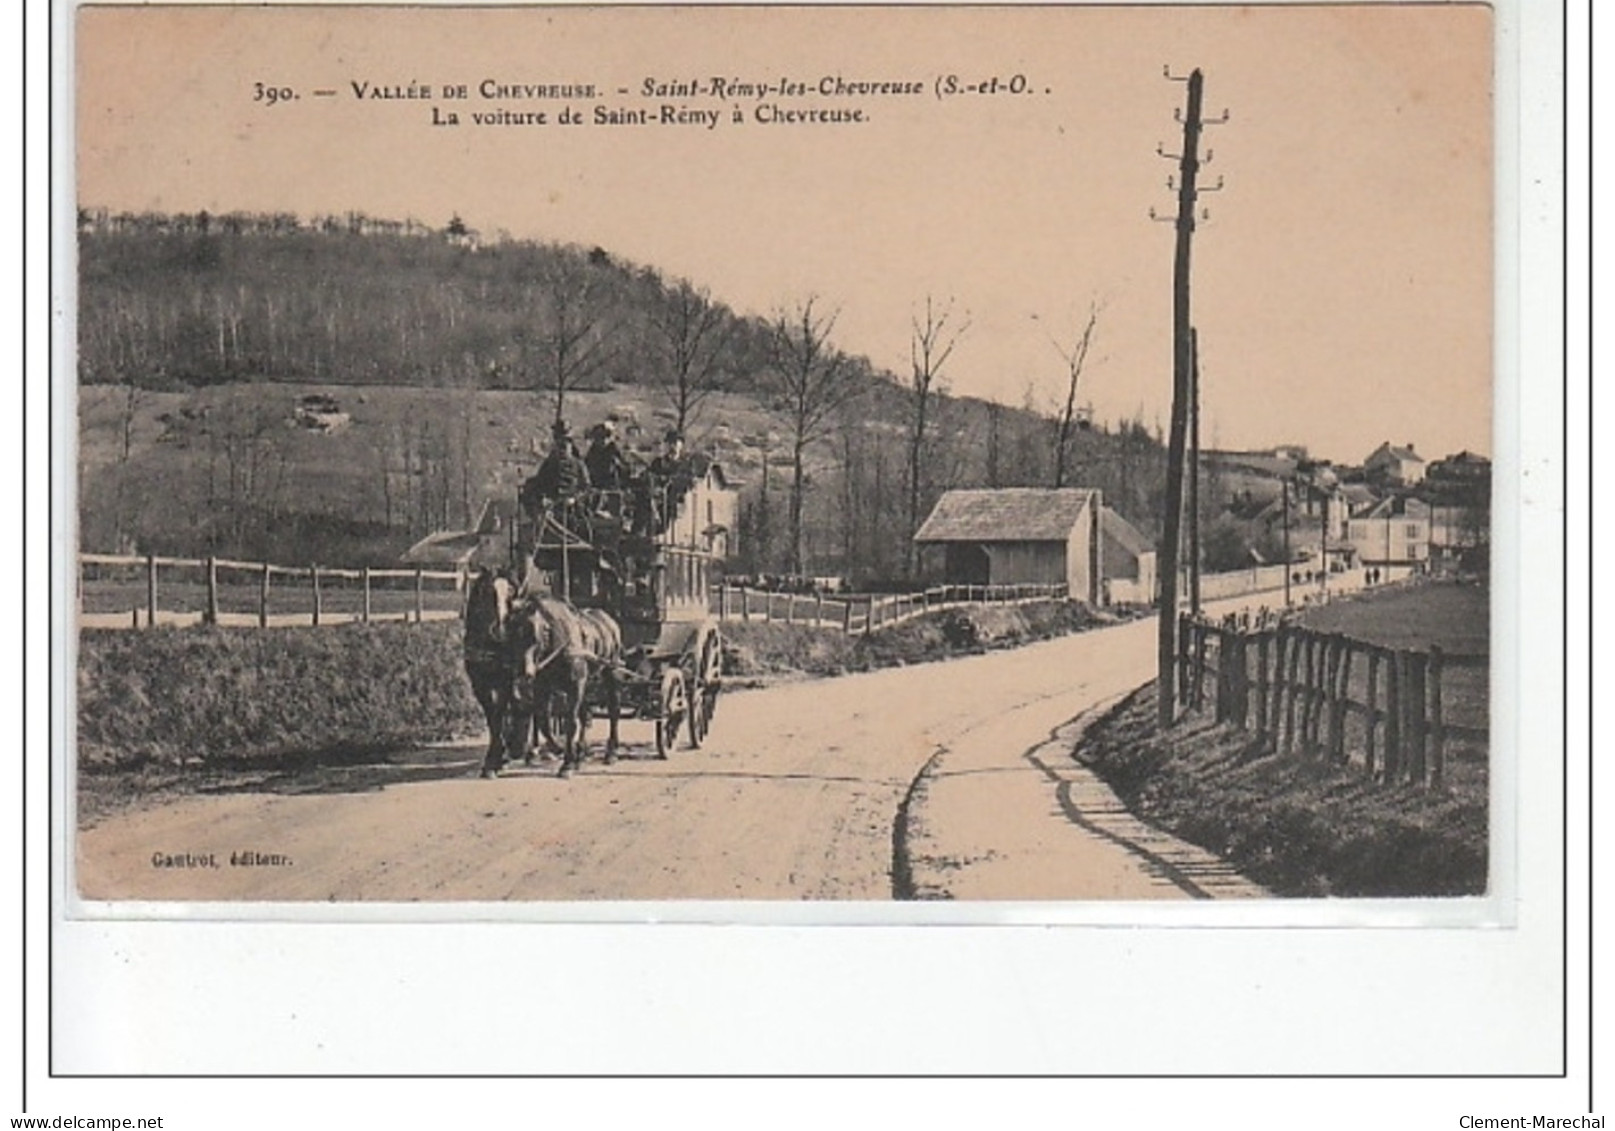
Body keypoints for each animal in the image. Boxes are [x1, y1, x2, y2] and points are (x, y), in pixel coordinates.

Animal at [510, 601, 623, 778]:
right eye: (512, 634)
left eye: (534, 636)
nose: (523, 673)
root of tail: (610, 620)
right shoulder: (543, 687)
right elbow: (544, 722)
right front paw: (559, 749)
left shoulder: (575, 686)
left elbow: (570, 723)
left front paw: (567, 764)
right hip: (587, 682)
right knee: (585, 715)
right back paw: (581, 754)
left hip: (611, 672)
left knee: (613, 711)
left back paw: (611, 753)